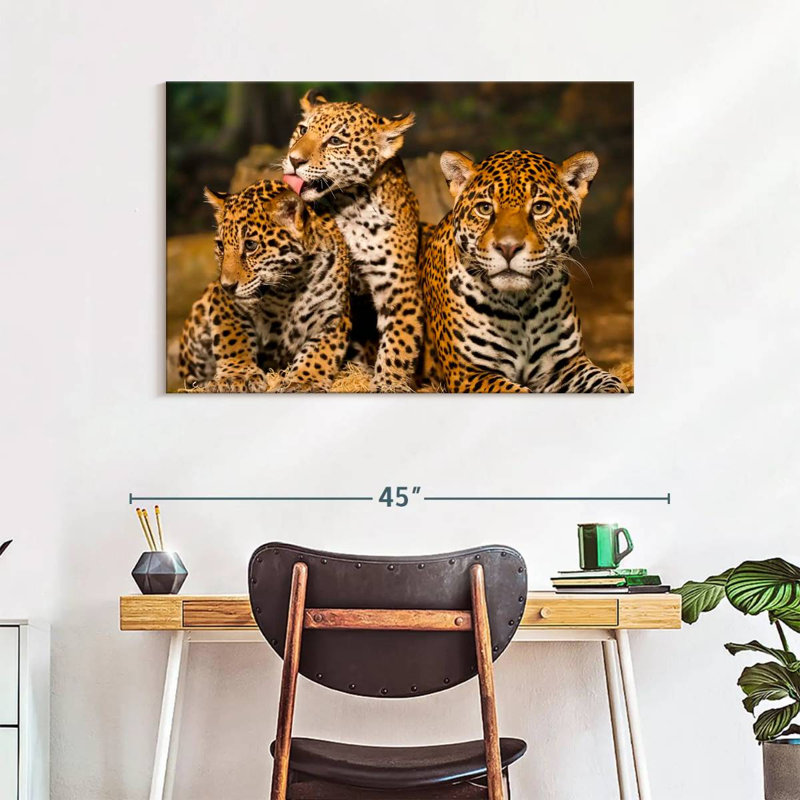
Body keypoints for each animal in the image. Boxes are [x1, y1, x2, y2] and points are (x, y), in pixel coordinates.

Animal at [178, 179, 351, 393]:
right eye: (221, 246)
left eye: (251, 246)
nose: (227, 286)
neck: (289, 288)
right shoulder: (223, 302)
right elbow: (233, 337)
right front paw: (237, 375)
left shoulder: (334, 315)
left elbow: (320, 353)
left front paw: (304, 381)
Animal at [282, 90, 424, 392]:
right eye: (302, 130)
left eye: (335, 141)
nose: (294, 160)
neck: (349, 206)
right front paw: (302, 379)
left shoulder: (400, 288)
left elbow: (399, 342)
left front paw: (388, 383)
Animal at [420, 149, 628, 393]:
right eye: (485, 208)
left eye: (540, 208)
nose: (508, 248)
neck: (520, 306)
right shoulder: (468, 374)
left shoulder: (566, 364)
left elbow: (610, 381)